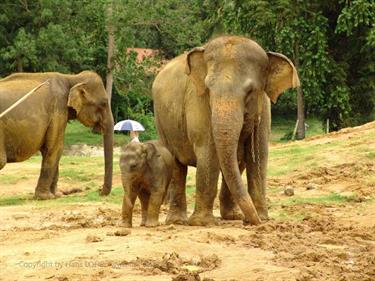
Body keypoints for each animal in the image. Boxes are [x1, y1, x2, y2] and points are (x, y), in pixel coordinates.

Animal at [0, 70, 114, 198]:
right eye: (104, 103)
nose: (99, 191)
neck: (71, 78)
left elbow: (52, 150)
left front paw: (56, 195)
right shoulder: (58, 110)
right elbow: (55, 147)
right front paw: (46, 197)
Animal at [151, 35, 302, 224]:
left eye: (250, 91)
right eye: (208, 88)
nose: (250, 222)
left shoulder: (265, 108)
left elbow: (258, 155)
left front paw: (262, 218)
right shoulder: (198, 101)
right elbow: (208, 152)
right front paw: (203, 223)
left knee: (238, 161)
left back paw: (232, 216)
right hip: (162, 122)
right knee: (177, 165)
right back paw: (177, 221)